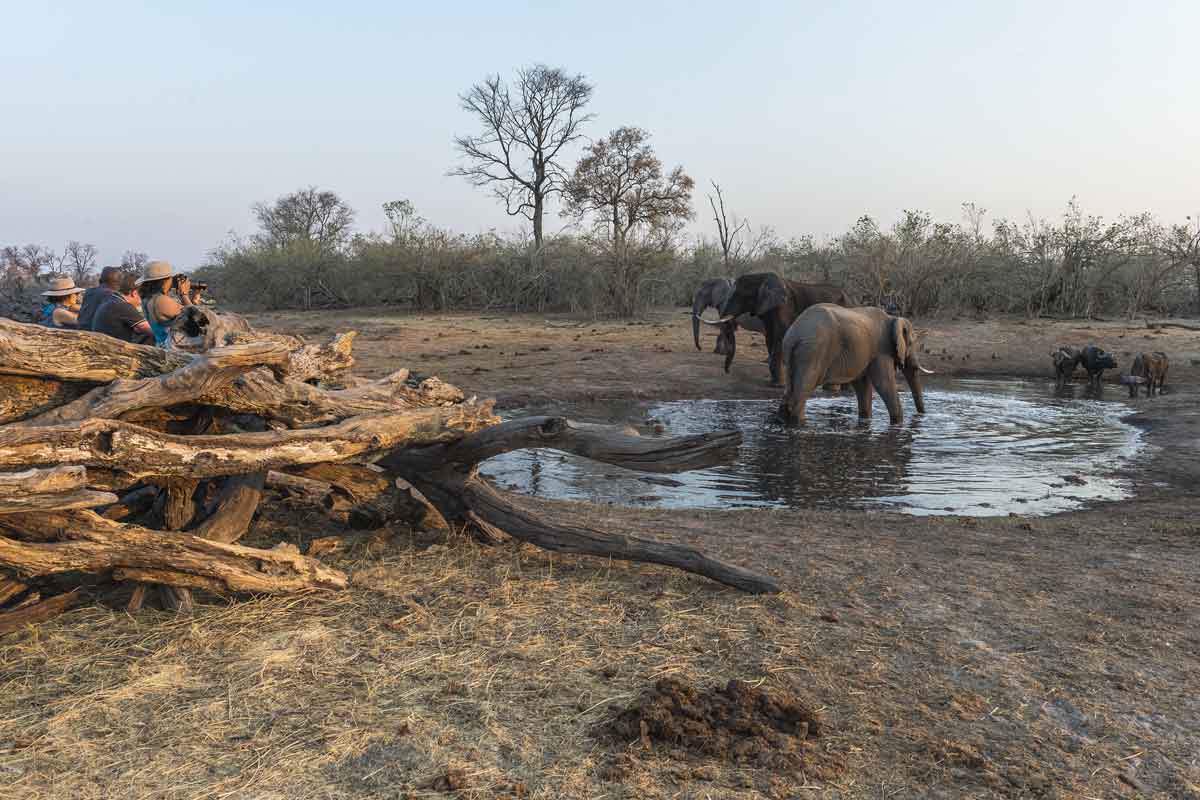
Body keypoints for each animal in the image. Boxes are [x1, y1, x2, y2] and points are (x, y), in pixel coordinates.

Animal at [710, 273, 854, 386]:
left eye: (741, 295)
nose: (727, 371)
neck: (763, 277)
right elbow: (770, 337)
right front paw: (773, 382)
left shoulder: (784, 307)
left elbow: (780, 335)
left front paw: (777, 385)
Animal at [777, 302, 936, 424]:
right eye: (911, 343)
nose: (921, 416)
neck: (892, 318)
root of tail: (794, 334)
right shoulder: (881, 350)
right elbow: (884, 384)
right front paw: (898, 423)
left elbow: (863, 385)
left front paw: (866, 420)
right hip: (813, 353)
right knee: (802, 393)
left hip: (795, 355)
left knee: (788, 396)